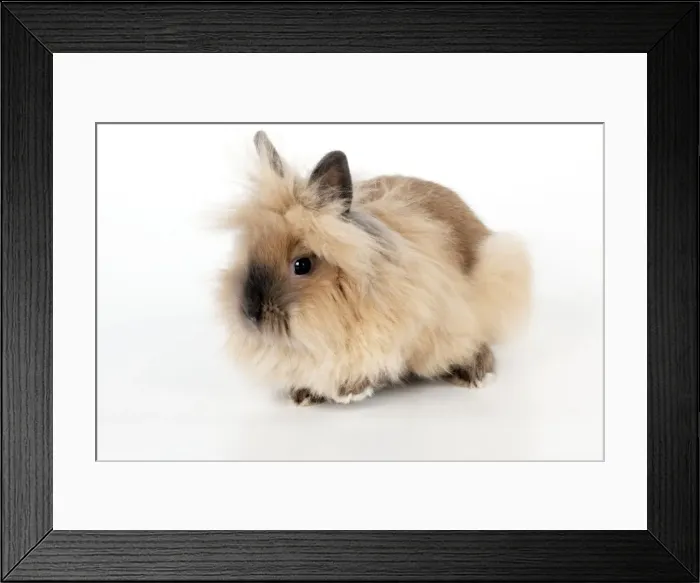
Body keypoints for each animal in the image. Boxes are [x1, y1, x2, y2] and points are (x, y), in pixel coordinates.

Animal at [217, 131, 532, 406]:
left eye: (302, 265)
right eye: (250, 252)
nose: (251, 313)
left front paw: (350, 391)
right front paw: (305, 394)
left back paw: (475, 374)